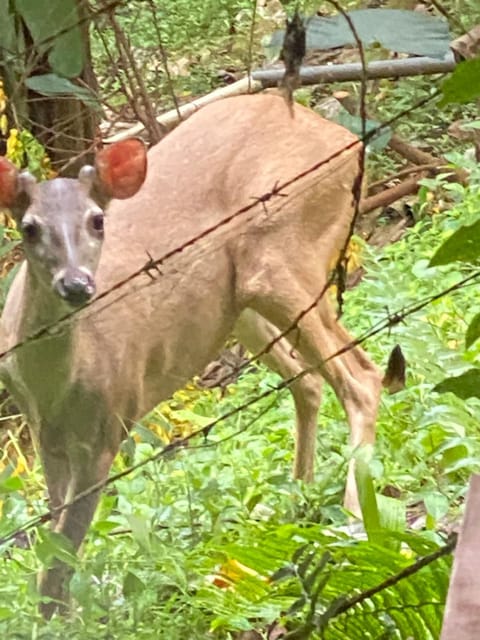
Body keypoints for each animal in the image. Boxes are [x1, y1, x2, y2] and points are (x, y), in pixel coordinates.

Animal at [0, 92, 382, 616]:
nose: (77, 284)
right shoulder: (43, 435)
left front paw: (59, 619)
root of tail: (346, 139)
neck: (54, 385)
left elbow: (62, 553)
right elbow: (54, 541)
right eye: (29, 227)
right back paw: (297, 501)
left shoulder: (109, 424)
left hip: (284, 256)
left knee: (361, 377)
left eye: (97, 220)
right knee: (308, 380)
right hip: (240, 304)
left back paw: (351, 521)